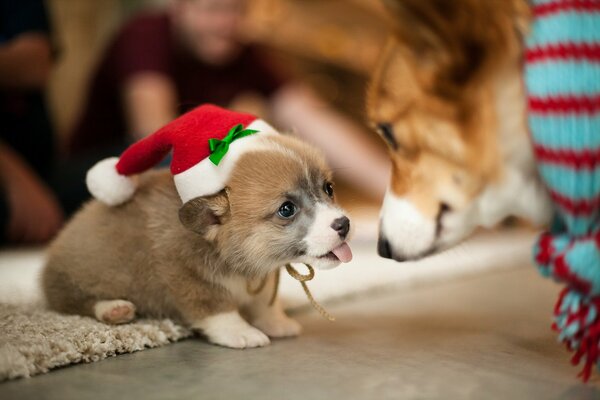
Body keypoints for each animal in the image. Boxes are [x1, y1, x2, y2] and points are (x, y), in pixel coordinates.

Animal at [42, 134, 352, 346]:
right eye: (287, 209)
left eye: (328, 188)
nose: (344, 224)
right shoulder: (187, 276)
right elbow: (217, 308)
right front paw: (242, 333)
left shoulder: (262, 281)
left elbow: (265, 303)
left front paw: (277, 323)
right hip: (75, 281)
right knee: (73, 303)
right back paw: (113, 309)